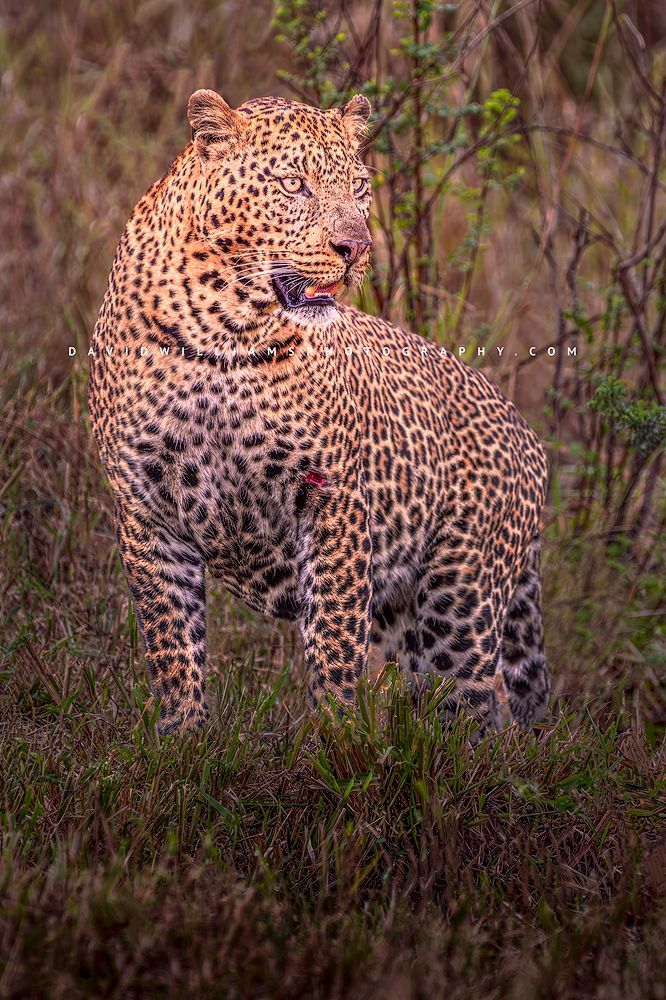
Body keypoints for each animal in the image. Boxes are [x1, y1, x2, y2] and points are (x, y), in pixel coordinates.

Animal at [88, 88, 551, 736]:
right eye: (293, 184)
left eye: (358, 187)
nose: (356, 248)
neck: (225, 335)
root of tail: (529, 437)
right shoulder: (145, 506)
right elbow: (171, 644)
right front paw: (182, 742)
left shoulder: (333, 500)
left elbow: (333, 639)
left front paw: (336, 738)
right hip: (405, 621)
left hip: (459, 600)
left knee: (478, 712)